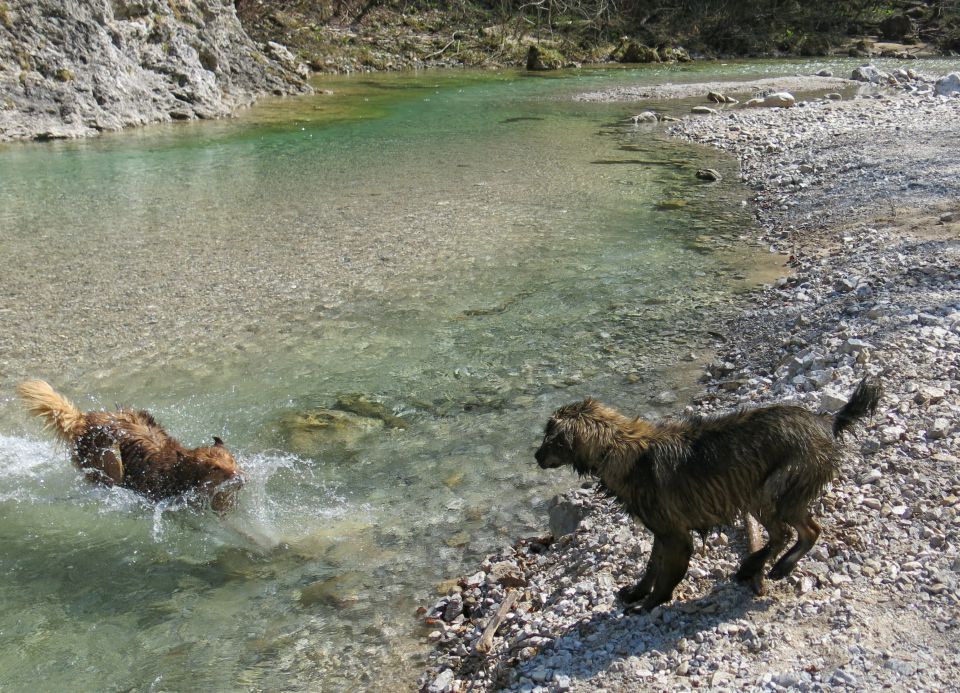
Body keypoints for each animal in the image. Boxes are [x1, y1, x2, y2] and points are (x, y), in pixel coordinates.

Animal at [17, 382, 244, 510]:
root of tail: (82, 420)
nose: (239, 476)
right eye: (214, 468)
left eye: (232, 460)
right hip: (109, 457)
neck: (175, 470)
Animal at [536, 378, 880, 612]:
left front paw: (648, 604)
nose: (535, 457)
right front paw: (636, 593)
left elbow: (665, 575)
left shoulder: (675, 537)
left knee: (801, 531)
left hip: (772, 489)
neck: (619, 448)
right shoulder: (662, 533)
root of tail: (826, 421)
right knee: (792, 533)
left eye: (549, 439)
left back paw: (772, 566)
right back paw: (758, 566)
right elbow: (651, 567)